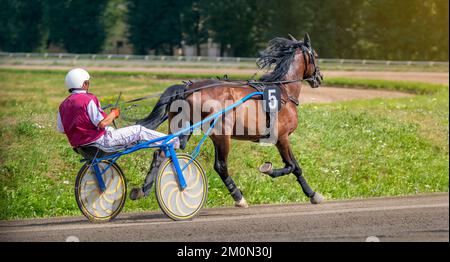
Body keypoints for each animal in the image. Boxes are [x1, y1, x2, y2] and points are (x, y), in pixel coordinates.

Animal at [136, 33, 324, 208]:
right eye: (315, 54)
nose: (320, 77)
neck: (283, 91)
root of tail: (188, 87)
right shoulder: (282, 137)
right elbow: (293, 166)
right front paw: (309, 192)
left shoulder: (281, 138)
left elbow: (293, 165)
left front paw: (311, 193)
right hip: (221, 135)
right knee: (221, 166)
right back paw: (238, 197)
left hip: (183, 129)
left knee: (161, 152)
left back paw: (143, 189)